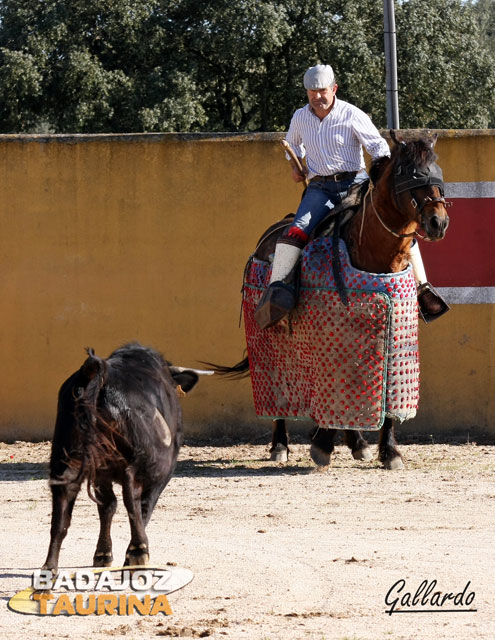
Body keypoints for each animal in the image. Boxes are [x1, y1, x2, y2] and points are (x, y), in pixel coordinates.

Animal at [41, 342, 200, 572]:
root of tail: (99, 369)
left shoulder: (101, 474)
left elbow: (107, 506)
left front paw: (103, 554)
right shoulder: (161, 472)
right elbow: (142, 506)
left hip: (67, 459)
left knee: (62, 507)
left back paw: (50, 568)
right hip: (146, 462)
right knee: (133, 497)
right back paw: (138, 550)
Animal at [211, 130, 452, 470]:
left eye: (437, 171)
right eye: (408, 172)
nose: (437, 222)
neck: (373, 252)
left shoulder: (395, 338)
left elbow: (384, 395)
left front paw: (388, 451)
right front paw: (323, 444)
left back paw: (356, 442)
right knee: (279, 392)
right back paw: (280, 444)